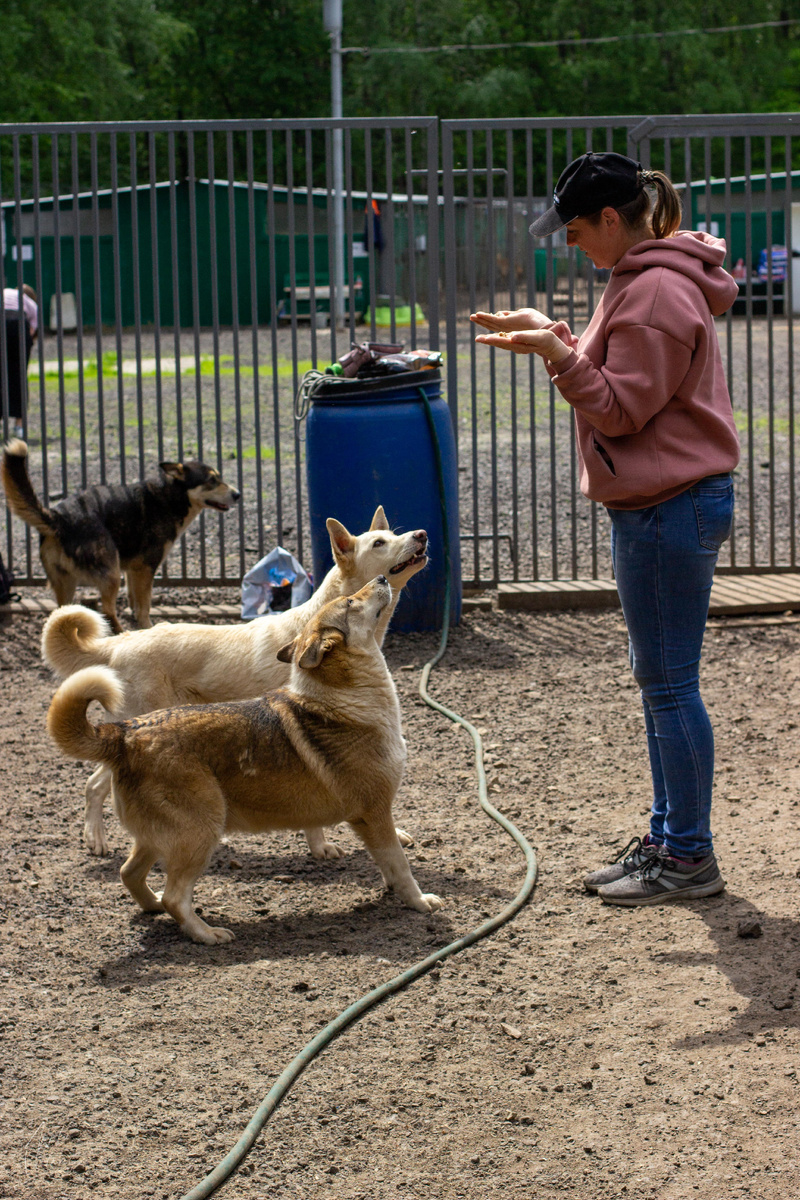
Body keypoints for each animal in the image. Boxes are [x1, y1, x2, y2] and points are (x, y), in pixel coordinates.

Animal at [41, 501, 429, 859]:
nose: (422, 534)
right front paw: (320, 846)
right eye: (378, 543)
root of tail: (121, 641)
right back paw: (96, 840)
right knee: (93, 786)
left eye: (393, 534)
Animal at [47, 580, 443, 945]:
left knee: (130, 873)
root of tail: (125, 733)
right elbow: (399, 864)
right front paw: (419, 901)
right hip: (200, 832)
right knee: (176, 897)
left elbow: (384, 863)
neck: (343, 701)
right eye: (349, 601)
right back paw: (206, 933)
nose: (382, 580)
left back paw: (153, 906)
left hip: (160, 837)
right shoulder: (373, 813)